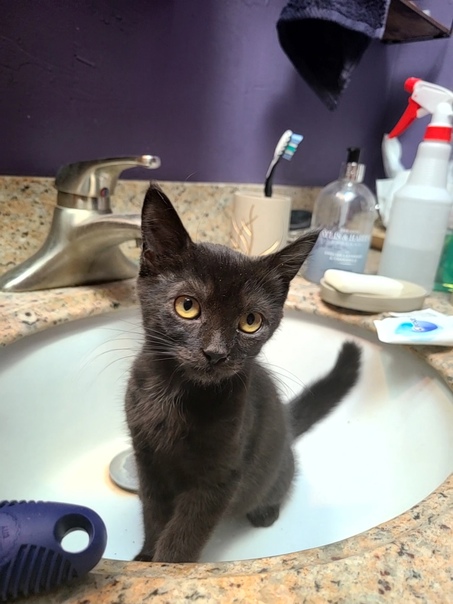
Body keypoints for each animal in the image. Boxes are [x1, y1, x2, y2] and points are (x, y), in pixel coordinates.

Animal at [125, 183, 361, 563]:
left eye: (251, 321)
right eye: (187, 306)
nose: (215, 352)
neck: (175, 396)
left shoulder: (220, 478)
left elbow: (184, 535)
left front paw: (166, 563)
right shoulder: (147, 462)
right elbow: (153, 513)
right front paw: (147, 557)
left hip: (276, 467)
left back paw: (265, 511)